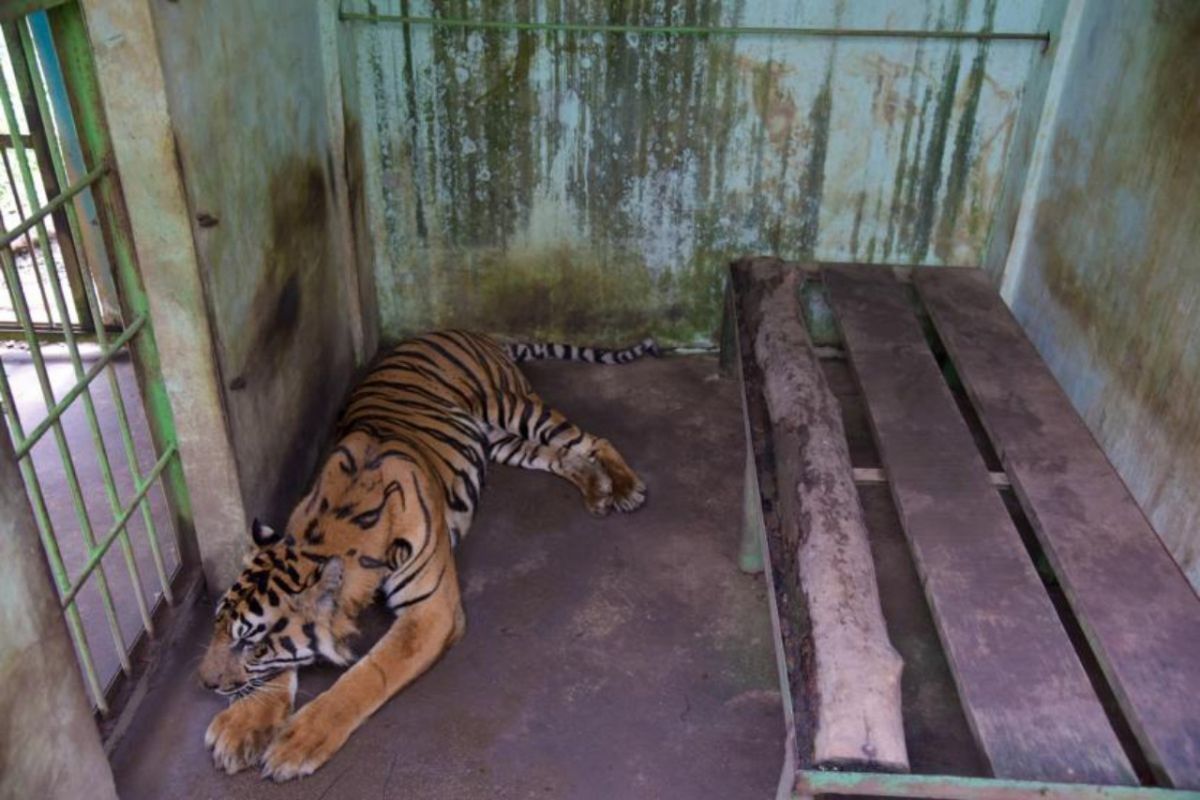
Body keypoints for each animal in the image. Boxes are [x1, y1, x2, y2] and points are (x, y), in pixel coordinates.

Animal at [196, 331, 657, 782]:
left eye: (251, 643)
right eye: (219, 627)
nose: (205, 684)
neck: (331, 527)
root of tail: (469, 332)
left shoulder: (431, 611)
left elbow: (368, 674)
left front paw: (296, 743)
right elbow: (277, 674)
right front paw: (242, 727)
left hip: (513, 407)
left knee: (591, 440)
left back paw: (625, 488)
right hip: (501, 442)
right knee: (560, 457)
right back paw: (597, 491)